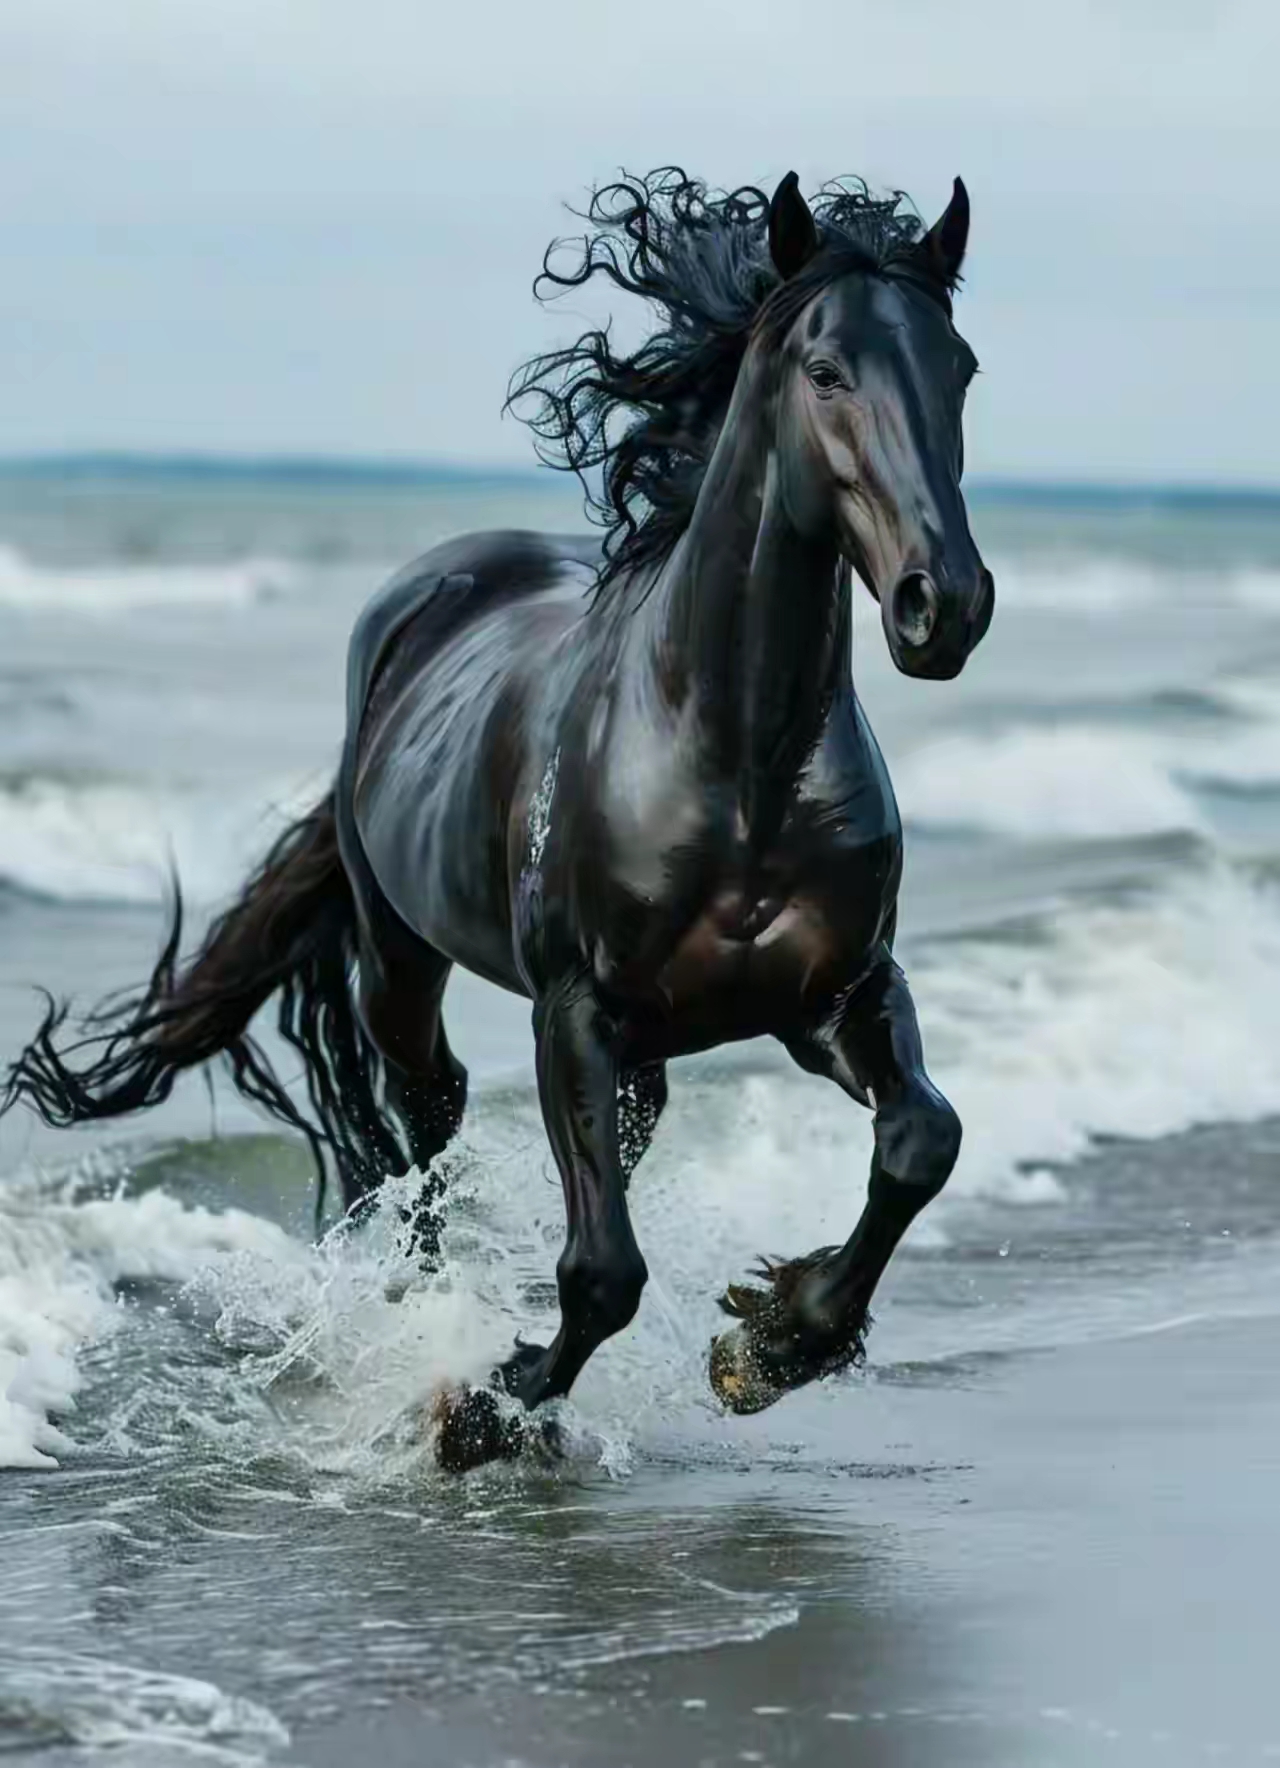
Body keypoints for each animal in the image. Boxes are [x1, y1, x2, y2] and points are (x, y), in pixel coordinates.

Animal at [3, 166, 994, 1471]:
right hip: (401, 963)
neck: (736, 760)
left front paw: (774, 1339)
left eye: (959, 367)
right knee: (427, 1119)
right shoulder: (573, 1008)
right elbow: (602, 1267)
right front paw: (478, 1403)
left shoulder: (834, 995)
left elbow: (921, 1139)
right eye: (825, 370)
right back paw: (427, 1323)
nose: (945, 606)